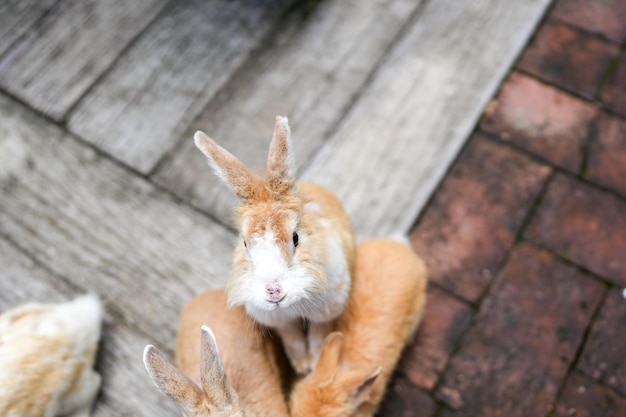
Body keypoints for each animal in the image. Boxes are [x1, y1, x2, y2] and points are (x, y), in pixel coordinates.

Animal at [193, 114, 354, 374]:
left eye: (295, 237)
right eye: (245, 243)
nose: (273, 291)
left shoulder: (325, 311)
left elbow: (318, 337)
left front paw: (313, 366)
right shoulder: (280, 322)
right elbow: (293, 341)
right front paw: (302, 367)